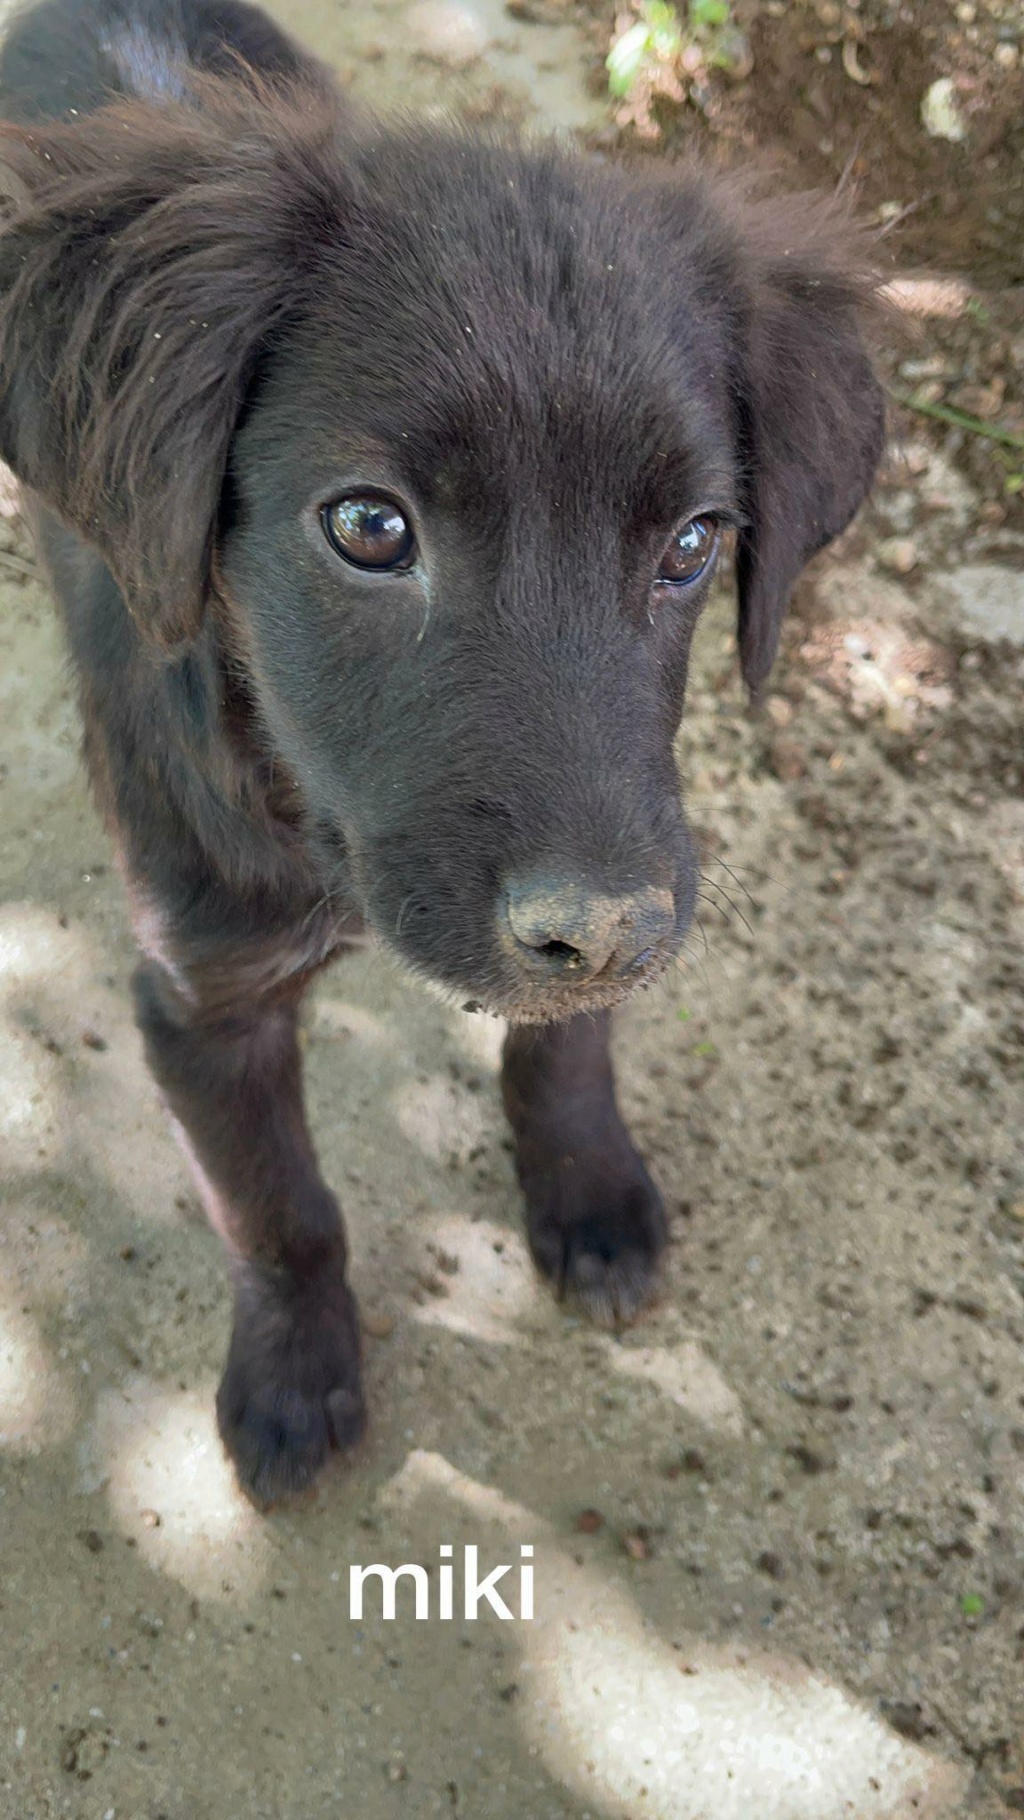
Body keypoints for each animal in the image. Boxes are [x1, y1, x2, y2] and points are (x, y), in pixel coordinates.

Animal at [0, 0, 883, 1499]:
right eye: (370, 528)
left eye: (692, 543)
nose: (610, 930)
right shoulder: (198, 998)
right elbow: (277, 1208)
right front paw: (296, 1373)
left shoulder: (631, 873)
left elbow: (566, 1049)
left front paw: (588, 1189)